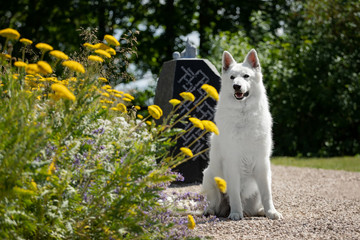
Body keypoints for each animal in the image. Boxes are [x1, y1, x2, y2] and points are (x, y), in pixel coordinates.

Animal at [201, 49, 282, 220]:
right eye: (232, 77)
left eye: (246, 76)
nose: (236, 86)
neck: (243, 115)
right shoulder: (232, 164)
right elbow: (234, 194)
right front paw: (236, 213)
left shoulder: (262, 163)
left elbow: (267, 194)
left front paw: (272, 212)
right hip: (209, 177)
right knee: (213, 203)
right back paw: (212, 211)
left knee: (256, 205)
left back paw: (261, 211)